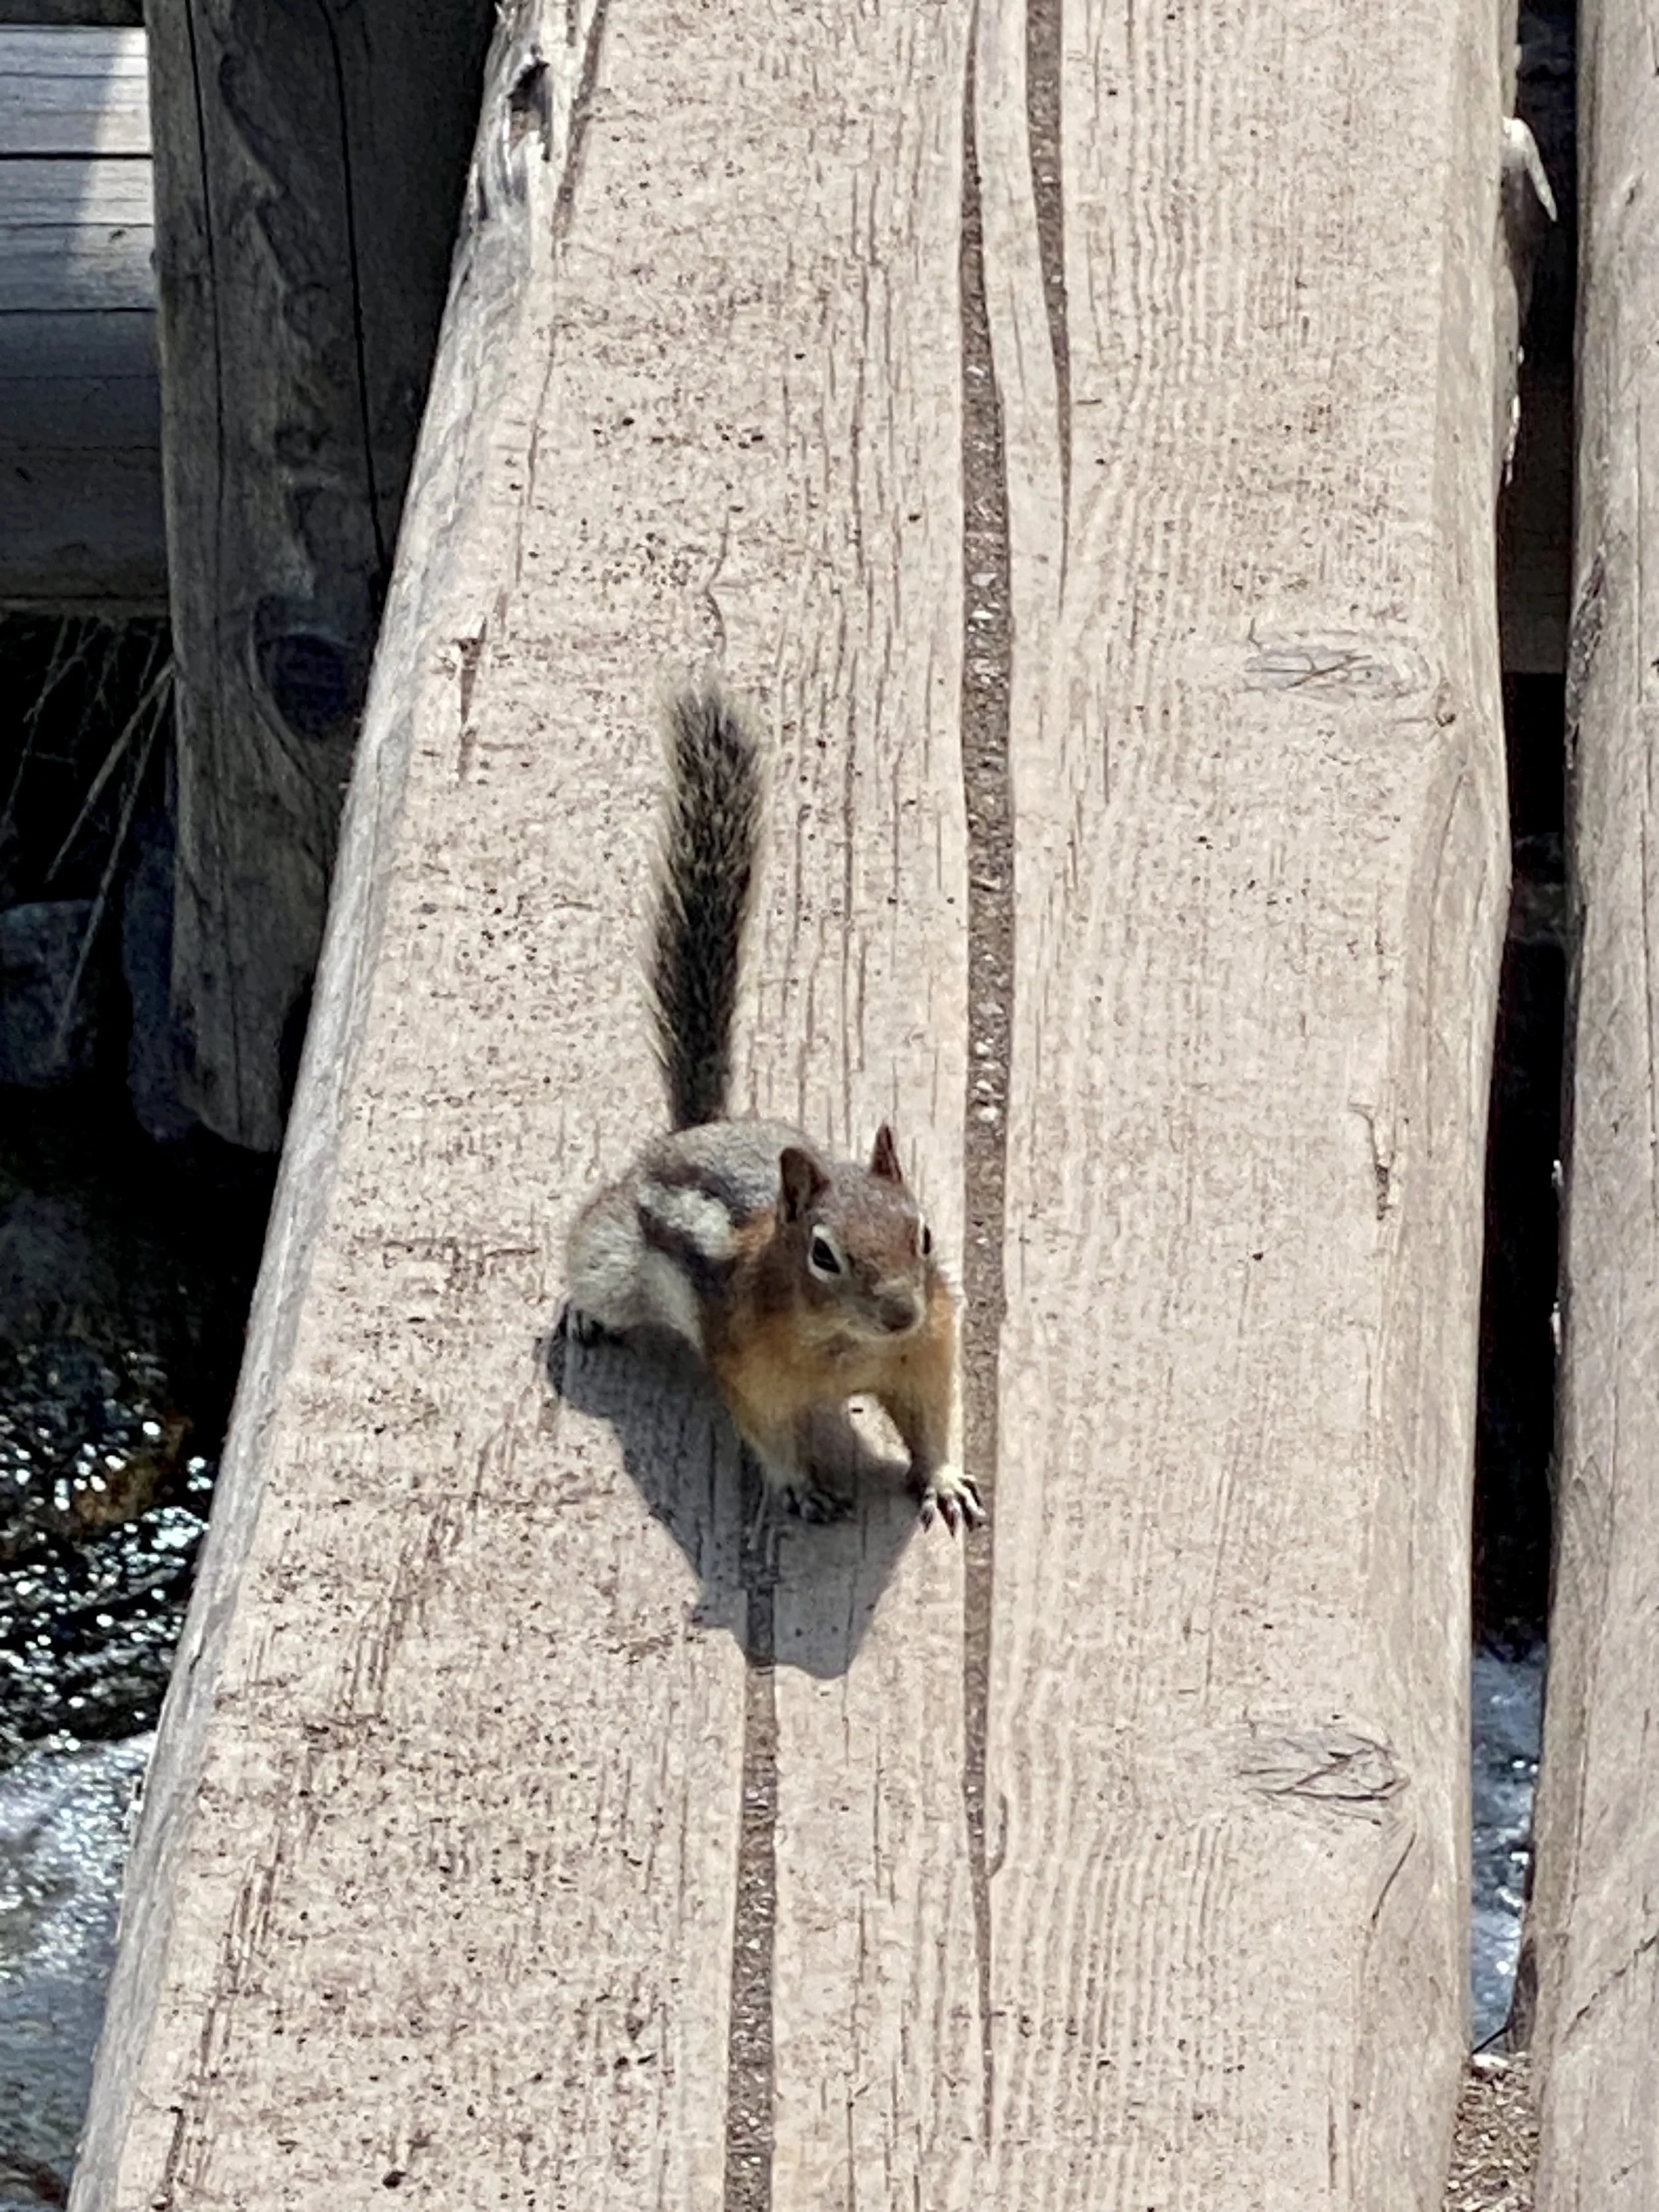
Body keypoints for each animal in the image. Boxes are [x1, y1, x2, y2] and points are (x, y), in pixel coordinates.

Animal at [564, 682, 983, 1534]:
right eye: (823, 1254)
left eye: (924, 1235)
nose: (901, 1312)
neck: (850, 1347)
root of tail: (695, 1129)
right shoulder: (748, 1375)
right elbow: (767, 1439)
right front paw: (800, 1487)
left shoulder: (927, 1358)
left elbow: (932, 1426)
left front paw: (943, 1480)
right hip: (611, 1258)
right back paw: (582, 1315)